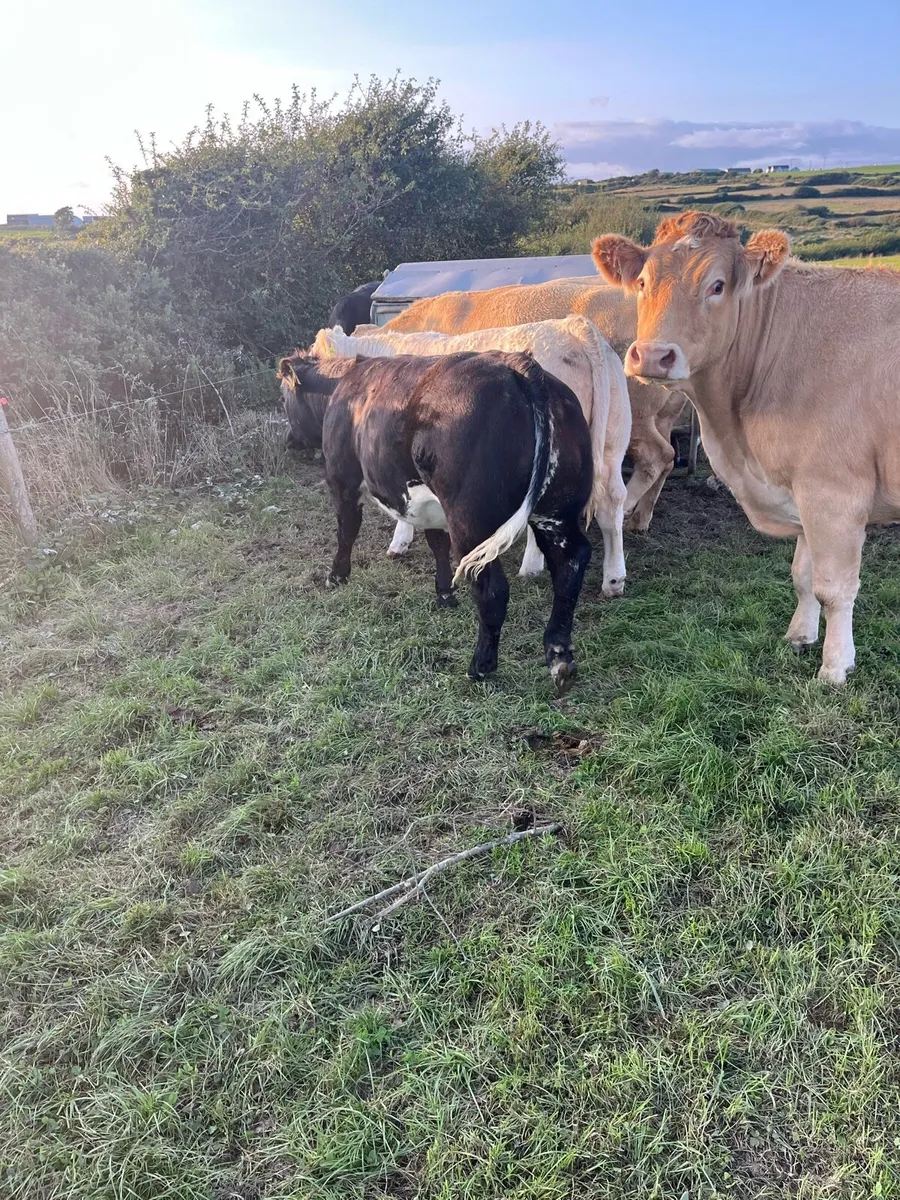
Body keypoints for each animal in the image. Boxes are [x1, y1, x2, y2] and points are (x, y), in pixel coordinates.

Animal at [277, 350, 594, 689]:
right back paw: (560, 657)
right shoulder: (432, 507)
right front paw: (444, 592)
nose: (289, 439)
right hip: (559, 512)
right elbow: (437, 543)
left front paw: (336, 576)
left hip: (471, 521)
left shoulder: (341, 480)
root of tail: (517, 364)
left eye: (284, 398)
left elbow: (346, 531)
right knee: (570, 566)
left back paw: (480, 666)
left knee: (492, 588)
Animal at [313, 316, 631, 598]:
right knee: (612, 500)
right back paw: (614, 579)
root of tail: (576, 325)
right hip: (611, 445)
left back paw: (530, 567)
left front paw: (399, 541)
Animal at [385, 278, 691, 532]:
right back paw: (640, 519)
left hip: (636, 415)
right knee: (667, 457)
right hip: (659, 415)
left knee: (655, 457)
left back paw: (625, 512)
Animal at [592, 209, 900, 685]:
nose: (653, 356)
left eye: (717, 285)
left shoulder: (834, 493)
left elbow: (834, 587)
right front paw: (799, 636)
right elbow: (803, 575)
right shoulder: (799, 487)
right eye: (642, 282)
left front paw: (834, 667)